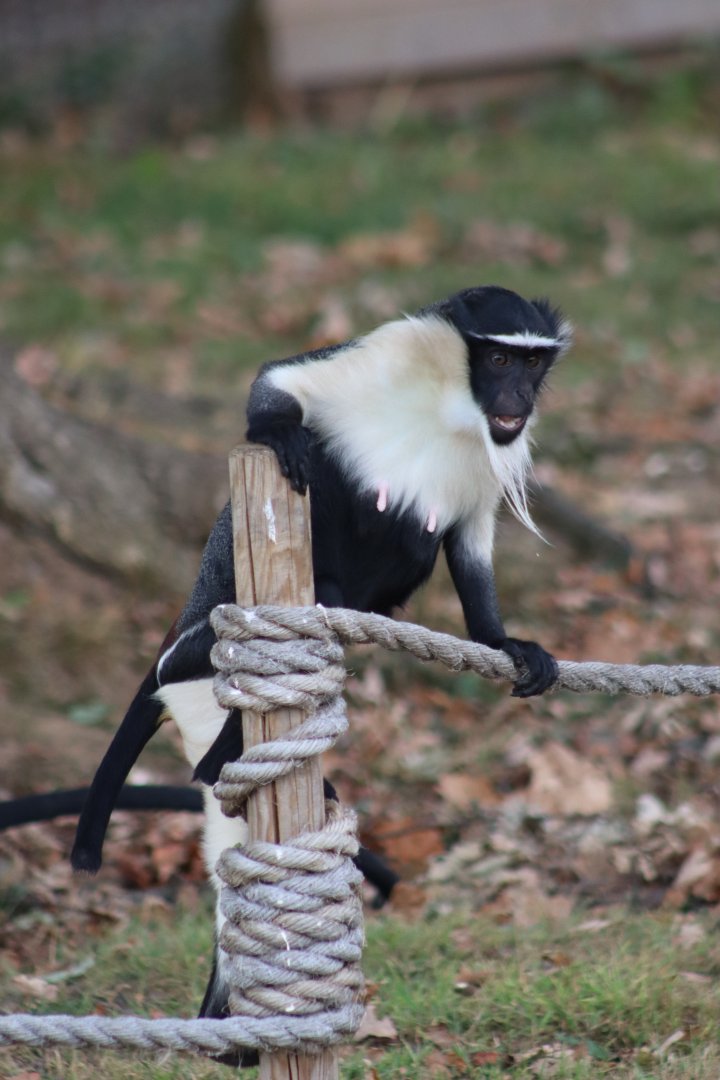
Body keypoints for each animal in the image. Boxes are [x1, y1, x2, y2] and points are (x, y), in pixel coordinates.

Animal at [71, 284, 570, 1063]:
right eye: (497, 359)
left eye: (532, 363)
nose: (517, 397)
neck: (450, 408)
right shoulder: (388, 354)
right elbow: (282, 382)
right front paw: (281, 430)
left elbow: (466, 541)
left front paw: (501, 640)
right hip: (210, 614)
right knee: (337, 479)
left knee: (416, 528)